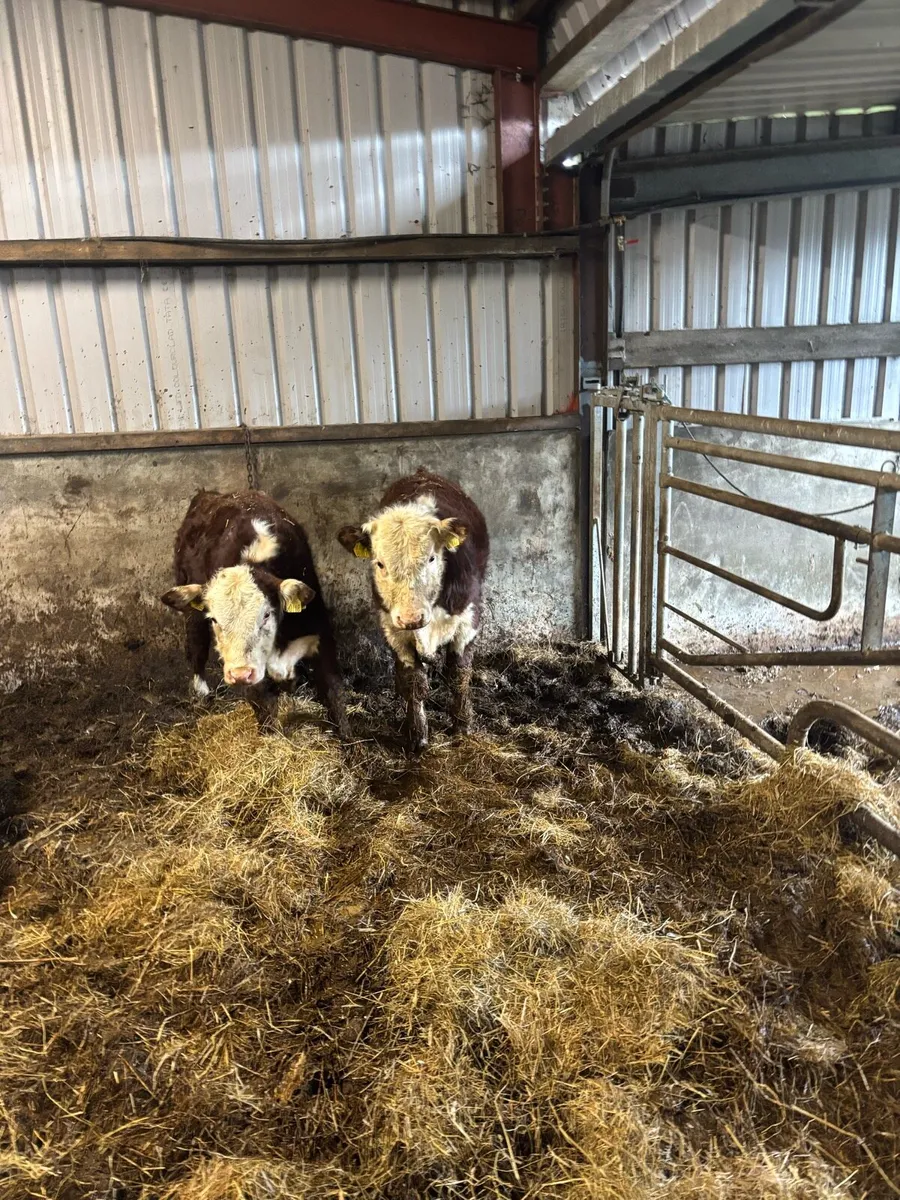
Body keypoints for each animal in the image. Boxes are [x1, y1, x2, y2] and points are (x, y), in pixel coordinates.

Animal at [160, 490, 349, 739]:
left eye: (267, 615)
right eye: (214, 619)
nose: (240, 674)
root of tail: (211, 495)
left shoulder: (319, 632)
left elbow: (334, 695)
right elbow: (264, 707)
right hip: (189, 601)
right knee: (196, 646)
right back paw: (202, 692)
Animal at [338, 468, 488, 753]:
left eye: (431, 558)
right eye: (380, 563)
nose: (411, 618)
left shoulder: (468, 620)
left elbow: (459, 674)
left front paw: (463, 726)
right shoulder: (393, 629)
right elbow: (413, 682)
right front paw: (417, 736)